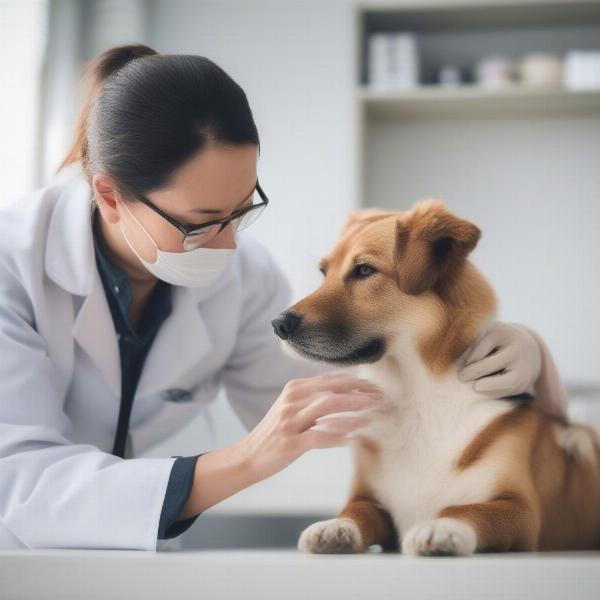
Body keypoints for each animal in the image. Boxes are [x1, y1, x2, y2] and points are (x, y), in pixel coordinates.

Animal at [270, 199, 600, 556]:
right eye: (323, 272)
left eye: (364, 270)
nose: (278, 324)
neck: (418, 394)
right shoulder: (368, 498)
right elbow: (357, 511)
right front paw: (334, 526)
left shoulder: (520, 510)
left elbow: (469, 510)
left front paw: (441, 528)